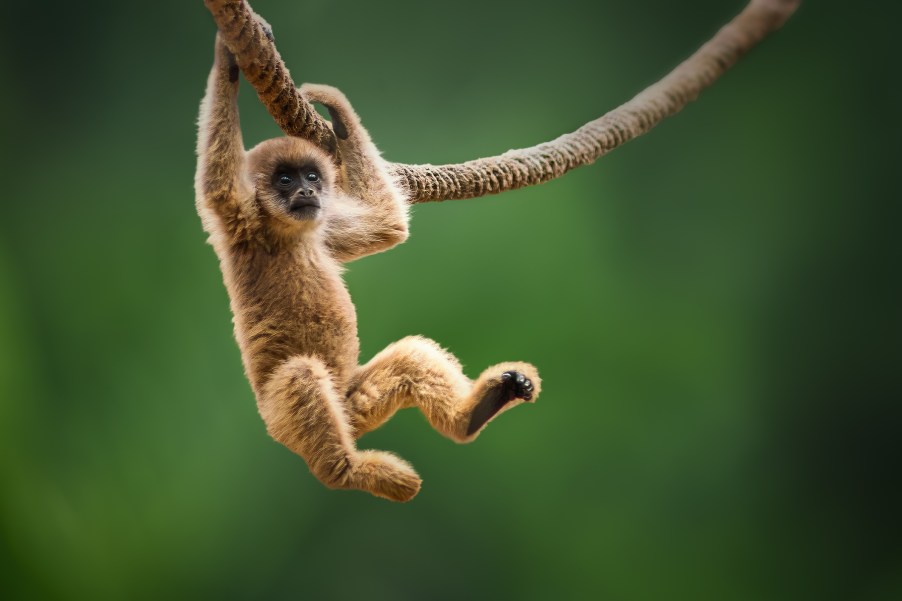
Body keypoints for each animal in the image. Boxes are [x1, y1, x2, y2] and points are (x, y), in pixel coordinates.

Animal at [195, 32, 541, 502]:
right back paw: (346, 472)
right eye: (286, 180)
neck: (285, 233)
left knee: (409, 359)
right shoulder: (239, 220)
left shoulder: (322, 228)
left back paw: (472, 415)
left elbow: (386, 226)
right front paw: (227, 56)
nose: (307, 190)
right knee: (302, 375)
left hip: (355, 403)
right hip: (285, 418)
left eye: (311, 176)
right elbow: (217, 181)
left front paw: (334, 112)